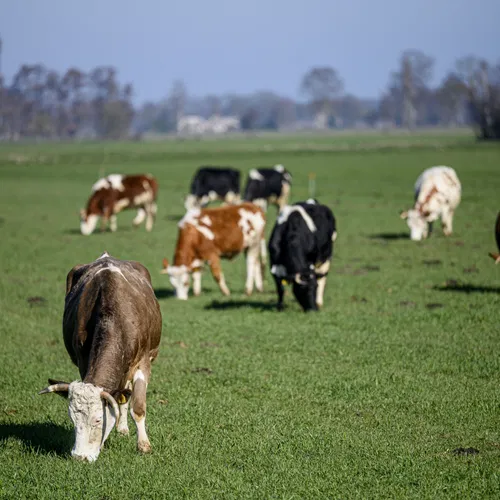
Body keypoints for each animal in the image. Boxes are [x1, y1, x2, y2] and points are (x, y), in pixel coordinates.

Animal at [40, 252, 164, 462]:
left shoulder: (143, 362)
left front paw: (144, 446)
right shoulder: (82, 359)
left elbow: (137, 407)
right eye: (73, 419)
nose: (79, 457)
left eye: (98, 419)